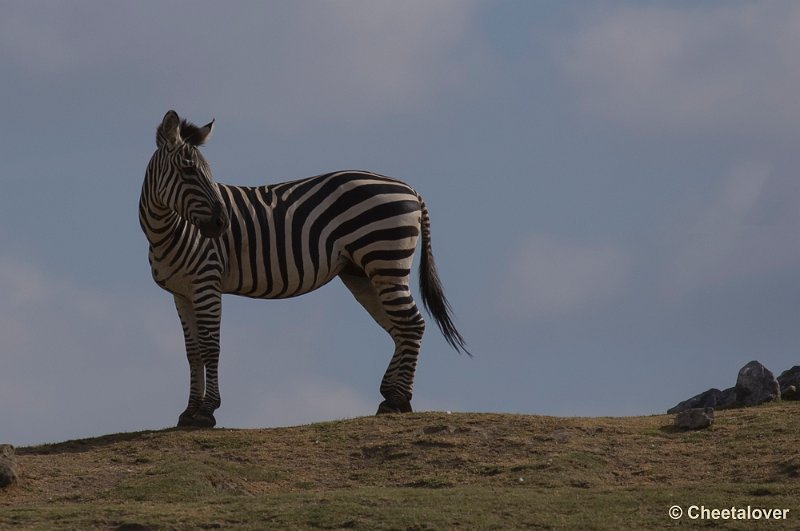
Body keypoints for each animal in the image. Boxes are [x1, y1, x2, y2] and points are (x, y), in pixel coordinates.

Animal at [139, 111, 468, 428]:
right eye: (189, 171)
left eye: (208, 173)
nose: (222, 224)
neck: (167, 230)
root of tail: (410, 189)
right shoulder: (182, 293)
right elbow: (192, 353)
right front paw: (188, 412)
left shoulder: (207, 284)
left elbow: (211, 348)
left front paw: (207, 412)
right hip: (363, 274)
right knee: (400, 328)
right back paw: (392, 398)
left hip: (386, 259)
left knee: (412, 324)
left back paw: (397, 400)